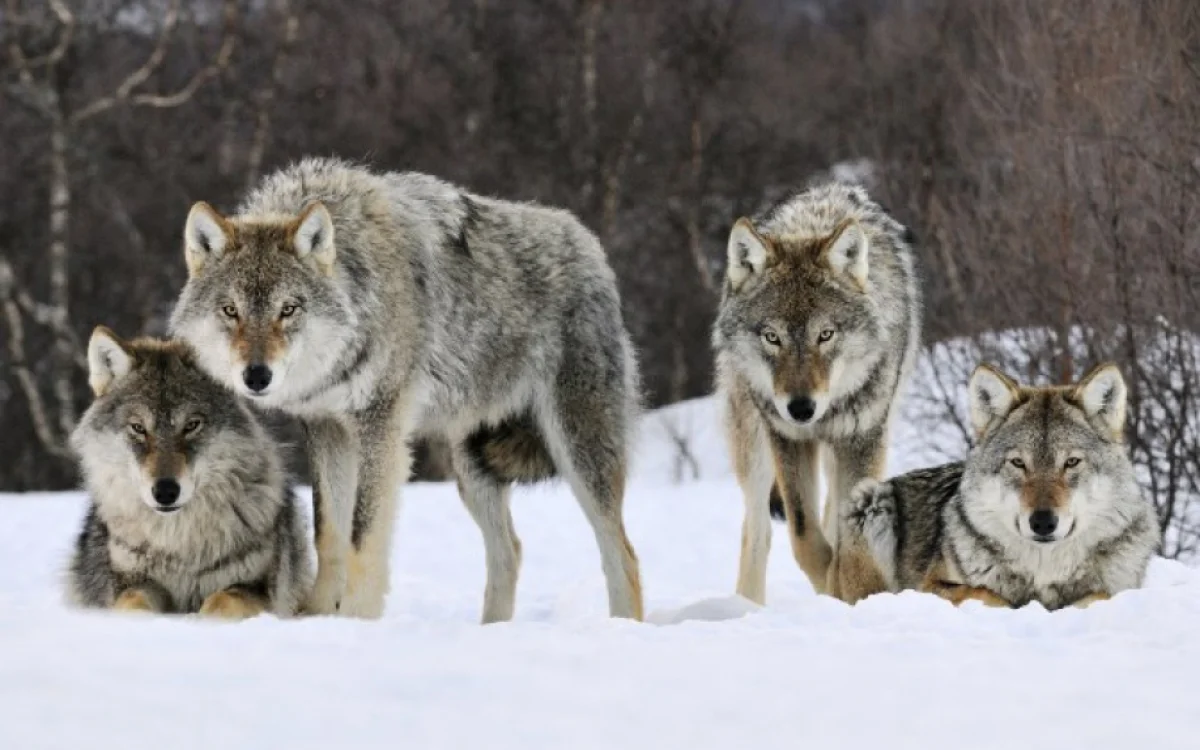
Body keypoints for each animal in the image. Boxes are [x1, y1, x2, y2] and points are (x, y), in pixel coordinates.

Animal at [66, 331, 312, 619]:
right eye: (138, 428)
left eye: (192, 425)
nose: (165, 492)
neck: (178, 544)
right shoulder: (132, 582)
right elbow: (132, 603)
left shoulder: (257, 588)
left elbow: (221, 602)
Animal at [170, 156, 648, 619]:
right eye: (230, 310)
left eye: (288, 309)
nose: (256, 376)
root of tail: (590, 246)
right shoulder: (326, 428)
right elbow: (329, 533)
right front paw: (318, 615)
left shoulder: (380, 426)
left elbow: (362, 537)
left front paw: (357, 619)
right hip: (472, 468)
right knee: (510, 551)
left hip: (578, 453)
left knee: (623, 555)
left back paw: (622, 627)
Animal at [710, 181, 916, 602]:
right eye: (772, 337)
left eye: (826, 334)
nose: (801, 408)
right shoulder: (788, 438)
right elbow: (805, 538)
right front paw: (832, 587)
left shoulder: (863, 438)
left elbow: (849, 538)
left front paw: (852, 589)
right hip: (754, 446)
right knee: (758, 530)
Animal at [835, 362, 1161, 609]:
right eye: (1018, 463)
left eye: (1071, 462)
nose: (1043, 522)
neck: (1044, 571)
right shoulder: (930, 585)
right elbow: (985, 592)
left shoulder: (1118, 589)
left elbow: (1099, 595)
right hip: (871, 501)